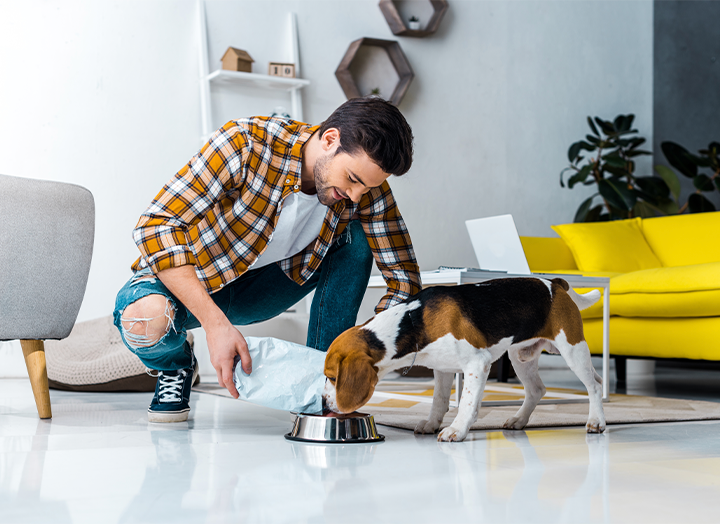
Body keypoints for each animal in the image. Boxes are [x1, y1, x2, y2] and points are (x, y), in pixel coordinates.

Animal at [324, 278, 604, 442]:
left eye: (333, 378)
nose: (324, 403)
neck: (413, 322)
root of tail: (555, 283)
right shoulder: (442, 368)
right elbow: (438, 401)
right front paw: (432, 424)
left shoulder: (477, 364)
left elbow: (467, 403)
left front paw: (457, 429)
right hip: (520, 357)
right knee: (537, 389)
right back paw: (519, 420)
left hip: (572, 349)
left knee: (595, 385)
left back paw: (596, 421)